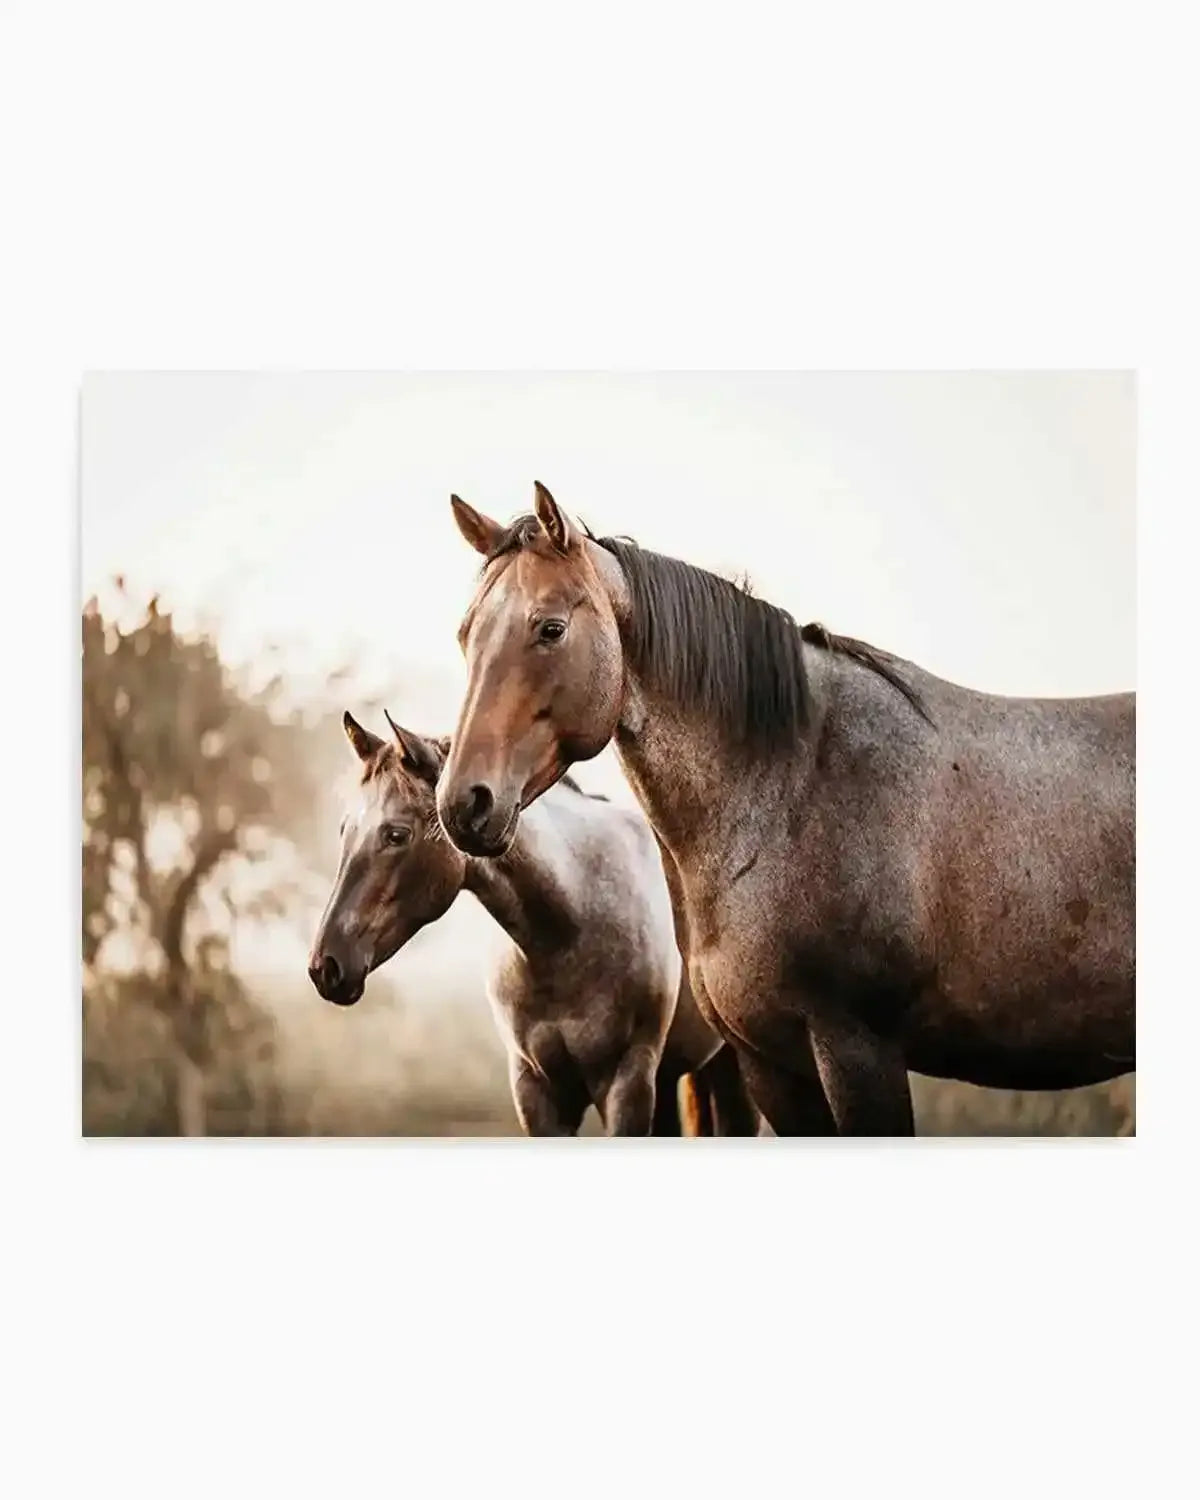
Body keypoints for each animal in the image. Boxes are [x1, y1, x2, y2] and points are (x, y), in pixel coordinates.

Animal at [307, 709, 760, 1137]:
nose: (325, 967)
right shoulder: (535, 1089)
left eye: (397, 834)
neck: (569, 932)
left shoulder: (626, 1082)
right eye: (345, 830)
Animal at [435, 482, 1135, 1136]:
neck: (791, 792)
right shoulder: (770, 1062)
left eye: (550, 629)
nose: (464, 802)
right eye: (466, 635)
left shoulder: (859, 1050)